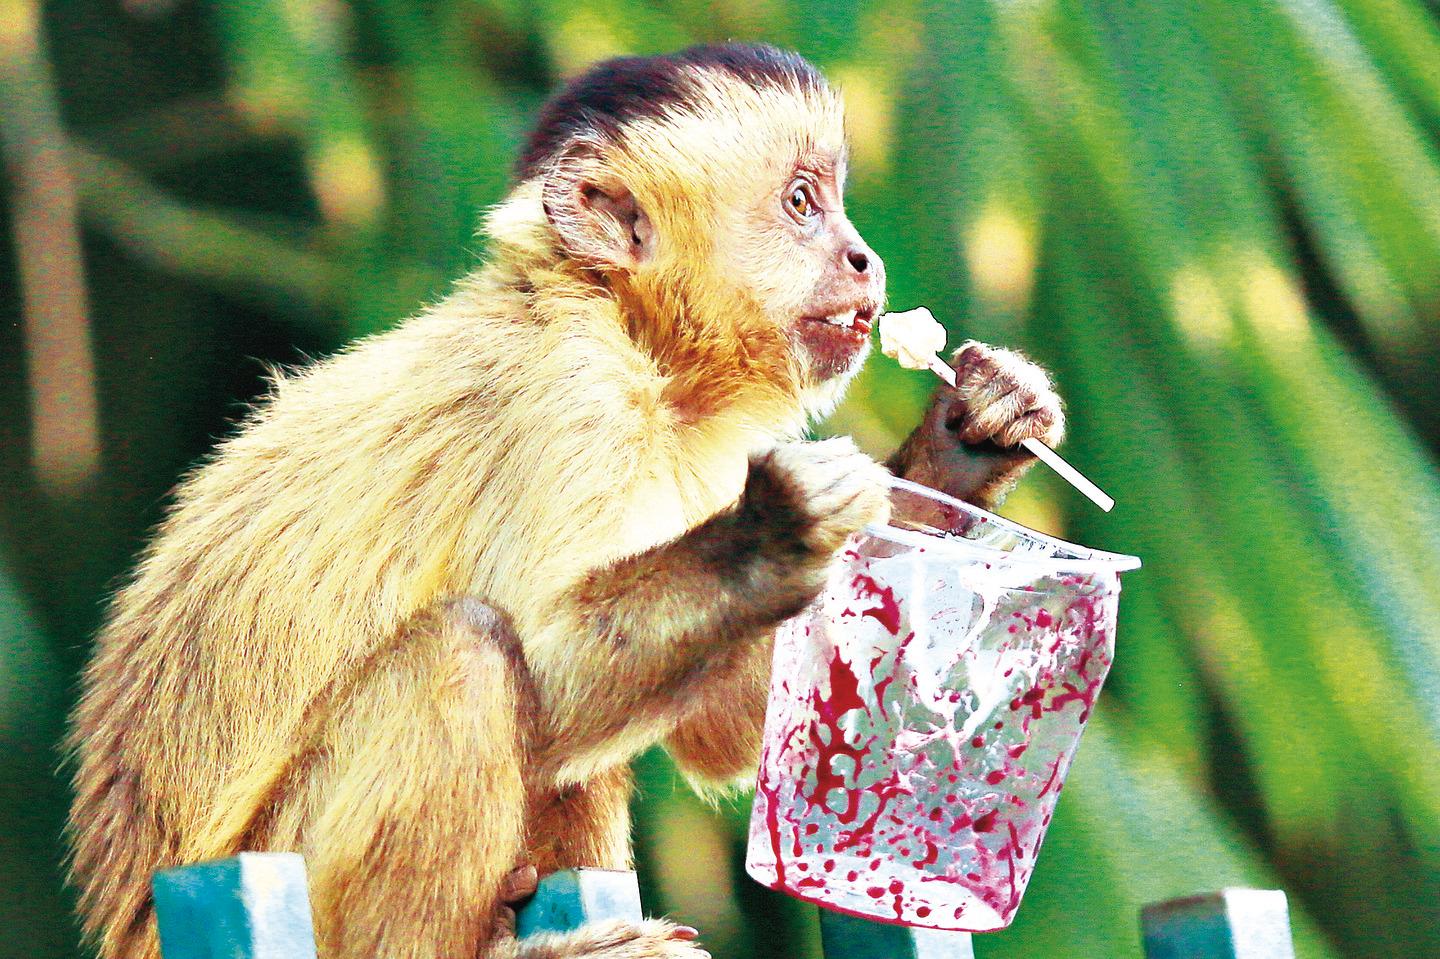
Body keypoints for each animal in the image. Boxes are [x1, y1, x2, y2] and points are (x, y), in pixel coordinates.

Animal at [67, 43, 1059, 956]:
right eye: (803, 203)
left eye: (832, 204)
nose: (864, 258)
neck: (627, 330)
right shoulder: (571, 391)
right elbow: (546, 655)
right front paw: (771, 534)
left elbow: (719, 729)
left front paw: (967, 440)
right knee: (468, 653)